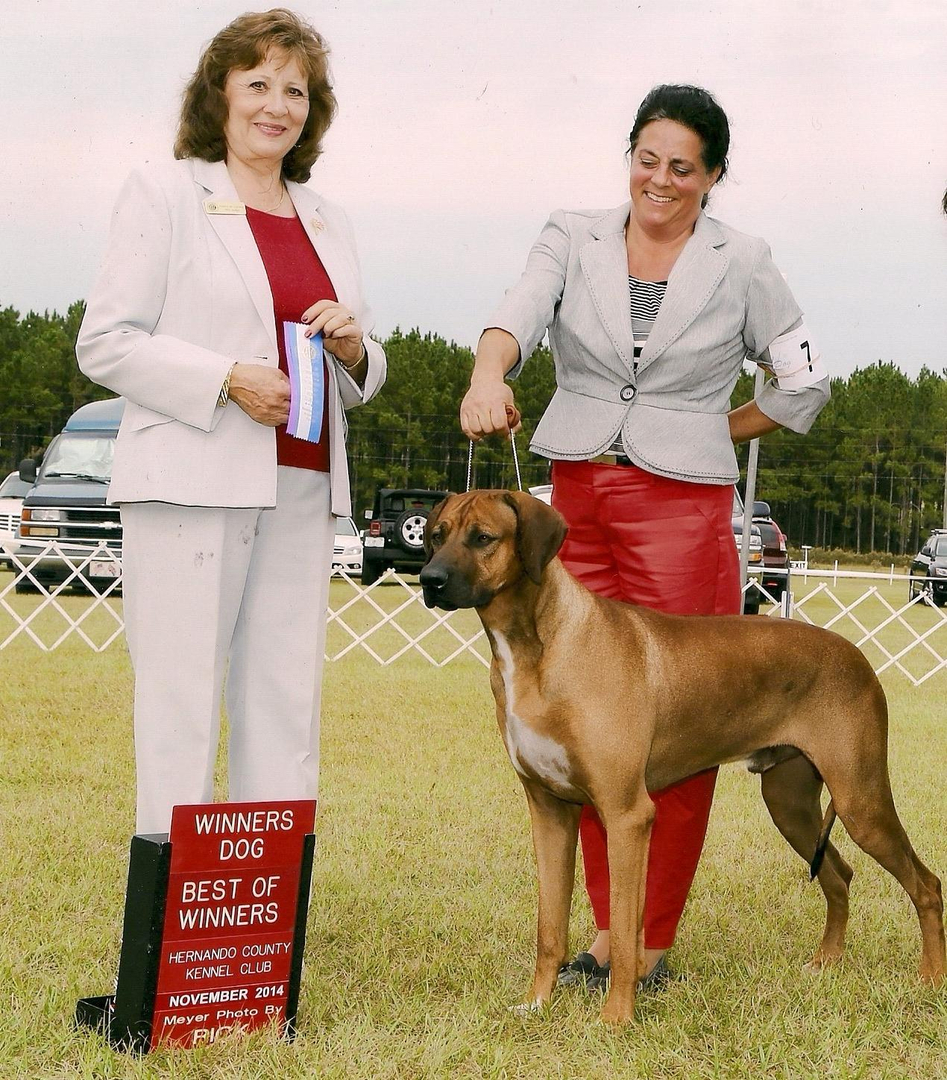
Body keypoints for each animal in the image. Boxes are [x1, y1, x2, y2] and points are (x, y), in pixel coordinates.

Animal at [421, 490, 945, 1019]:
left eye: (483, 538)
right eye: (436, 535)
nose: (428, 580)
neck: (538, 648)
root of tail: (857, 657)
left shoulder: (627, 816)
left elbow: (627, 934)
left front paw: (616, 1020)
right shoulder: (550, 811)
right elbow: (549, 928)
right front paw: (537, 1005)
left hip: (861, 801)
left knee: (926, 884)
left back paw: (930, 978)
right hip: (790, 805)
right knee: (840, 875)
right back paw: (826, 963)